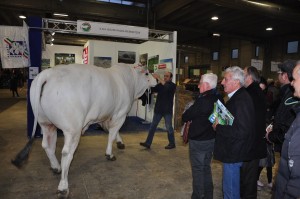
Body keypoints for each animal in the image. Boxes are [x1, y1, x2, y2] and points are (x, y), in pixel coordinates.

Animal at [14, 63, 155, 198]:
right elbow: (112, 134)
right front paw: (110, 154)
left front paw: (120, 143)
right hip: (73, 129)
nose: (156, 80)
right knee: (66, 153)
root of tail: (48, 73)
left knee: (48, 145)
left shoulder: (105, 115)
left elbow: (113, 132)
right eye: (147, 73)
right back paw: (63, 186)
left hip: (46, 124)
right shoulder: (120, 114)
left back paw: (56, 167)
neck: (129, 80)